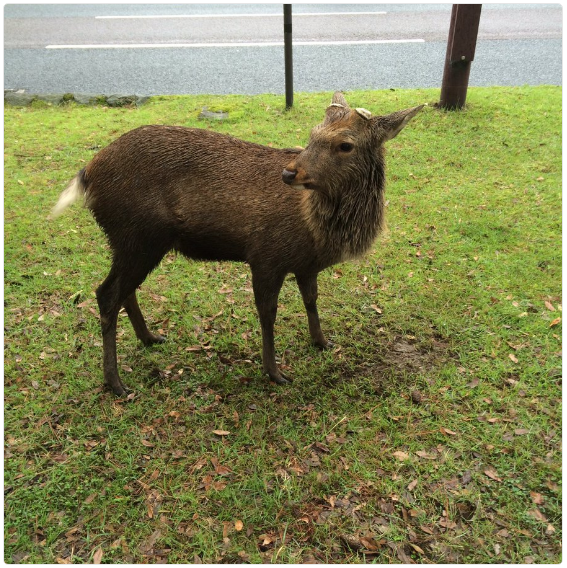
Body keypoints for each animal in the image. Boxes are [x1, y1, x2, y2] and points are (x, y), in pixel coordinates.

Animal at [51, 92, 424, 394]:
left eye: (345, 144)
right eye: (312, 135)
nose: (290, 173)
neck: (317, 231)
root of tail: (87, 174)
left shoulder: (305, 265)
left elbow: (311, 301)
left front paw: (321, 341)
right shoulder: (266, 255)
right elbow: (268, 313)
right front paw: (275, 373)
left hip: (133, 241)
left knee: (123, 290)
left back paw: (150, 337)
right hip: (138, 234)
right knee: (106, 293)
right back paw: (115, 382)